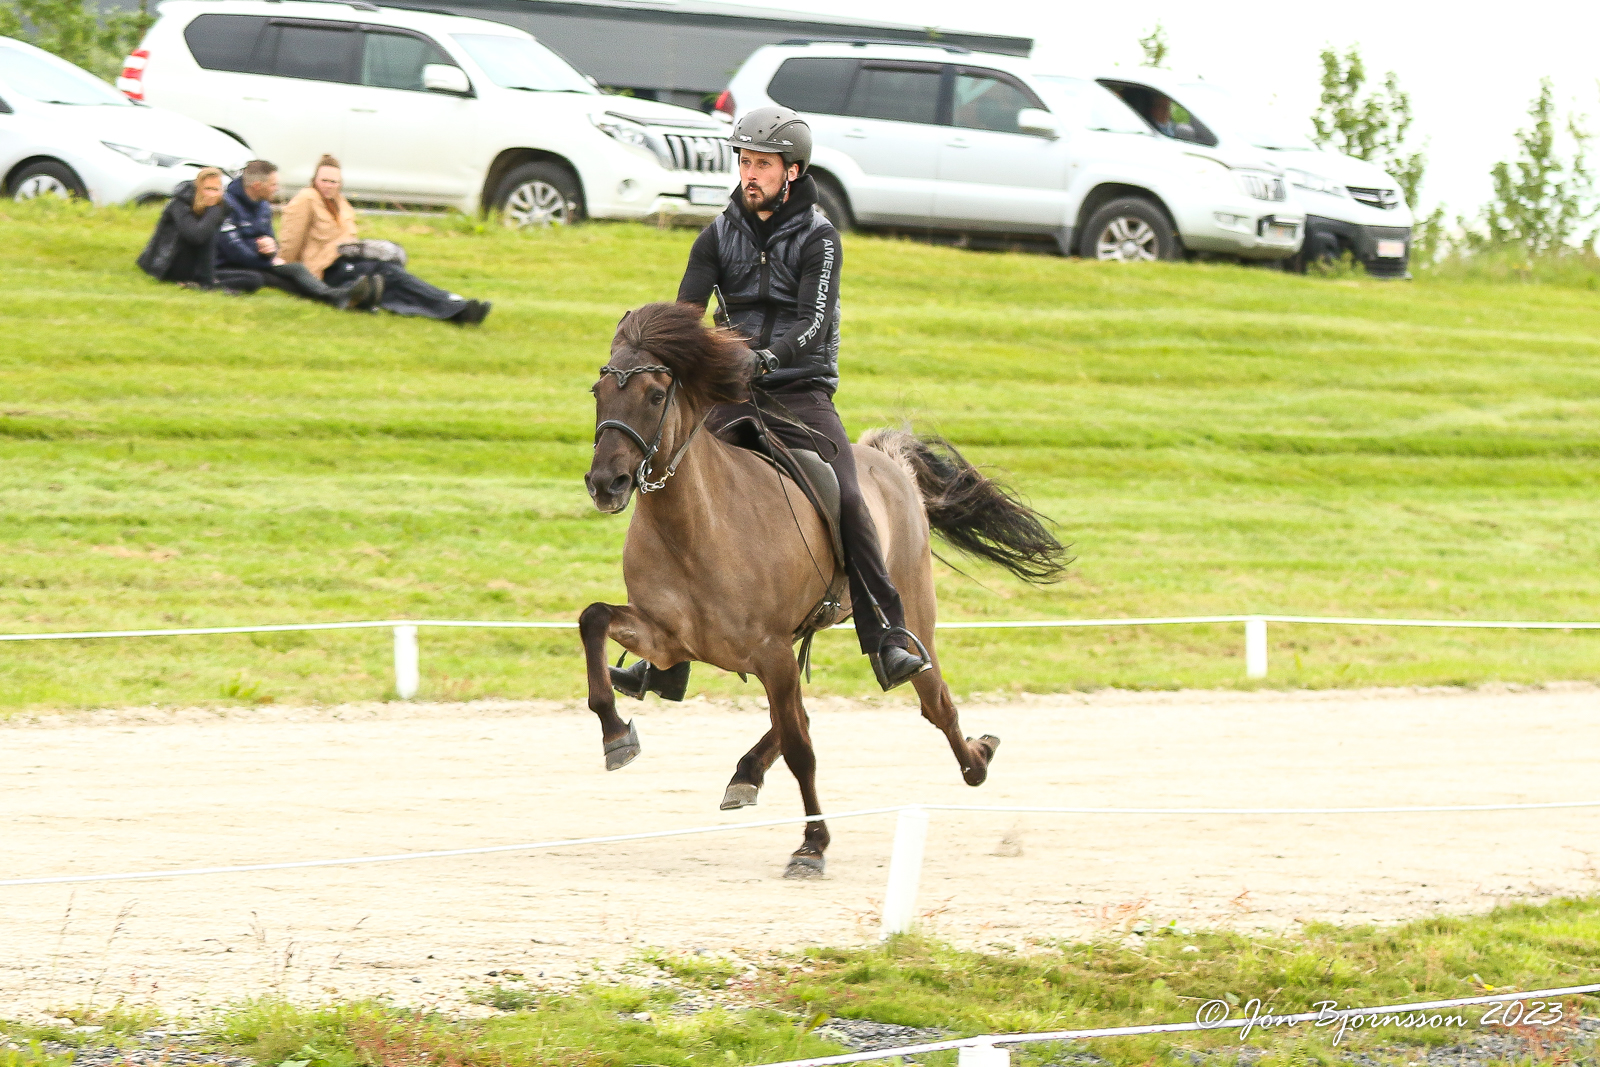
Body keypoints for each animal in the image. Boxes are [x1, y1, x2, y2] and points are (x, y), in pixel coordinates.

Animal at [576, 300, 1062, 876]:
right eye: (598, 392)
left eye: (654, 395)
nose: (605, 484)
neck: (695, 525)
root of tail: (887, 462)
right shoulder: (671, 639)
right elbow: (593, 618)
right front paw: (615, 734)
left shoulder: (769, 650)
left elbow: (802, 750)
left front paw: (812, 846)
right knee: (799, 716)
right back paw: (746, 772)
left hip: (910, 617)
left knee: (934, 702)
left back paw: (977, 758)